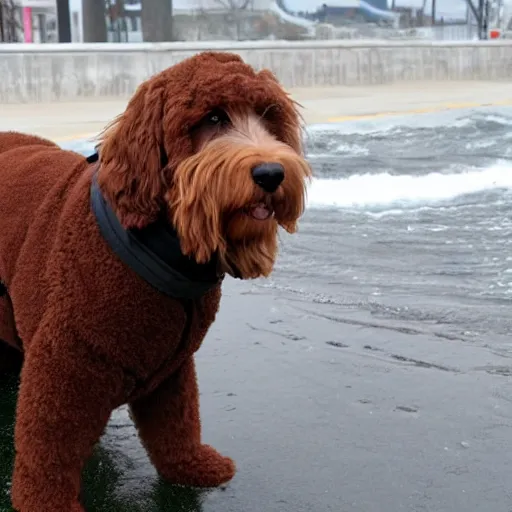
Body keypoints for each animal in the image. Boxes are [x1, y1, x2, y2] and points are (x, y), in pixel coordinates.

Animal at [0, 50, 312, 510]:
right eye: (213, 118)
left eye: (269, 117)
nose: (272, 173)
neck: (164, 241)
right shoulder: (63, 359)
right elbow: (47, 444)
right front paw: (46, 502)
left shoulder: (173, 367)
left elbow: (176, 423)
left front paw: (190, 467)